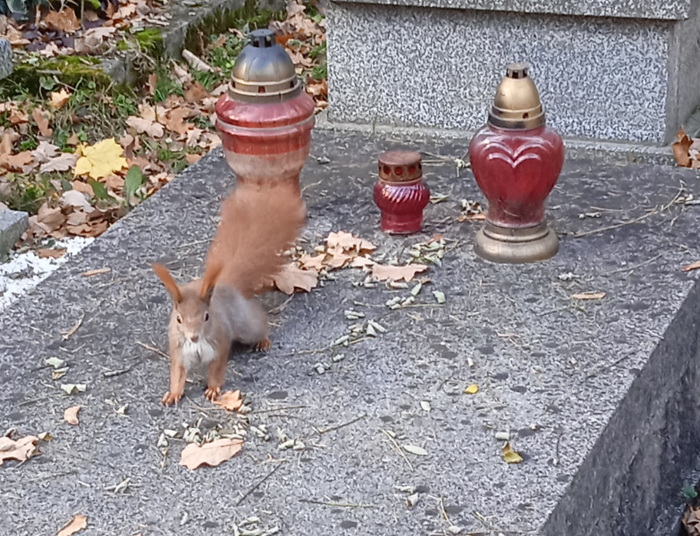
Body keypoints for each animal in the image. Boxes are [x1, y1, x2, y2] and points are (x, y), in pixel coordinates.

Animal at [152, 184, 304, 406]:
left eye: (207, 316)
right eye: (178, 319)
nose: (194, 336)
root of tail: (227, 284)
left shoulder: (220, 344)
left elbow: (216, 370)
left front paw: (213, 389)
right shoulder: (179, 351)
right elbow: (178, 375)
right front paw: (173, 393)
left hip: (247, 325)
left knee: (259, 323)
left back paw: (263, 341)